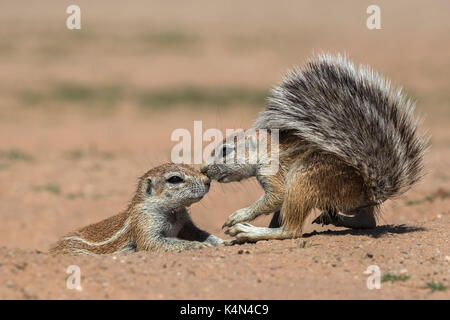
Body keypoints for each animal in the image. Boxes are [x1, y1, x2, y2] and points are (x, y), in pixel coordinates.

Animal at [50, 162, 222, 255]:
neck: (174, 213)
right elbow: (153, 243)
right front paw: (196, 245)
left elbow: (201, 234)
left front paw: (223, 242)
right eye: (175, 179)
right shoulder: (144, 223)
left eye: (190, 166)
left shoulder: (186, 223)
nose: (208, 181)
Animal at [201, 52, 428, 244]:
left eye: (225, 150)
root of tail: (368, 189)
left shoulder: (275, 174)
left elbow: (276, 198)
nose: (204, 169)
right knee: (367, 221)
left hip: (304, 179)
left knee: (291, 231)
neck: (268, 149)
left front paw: (238, 216)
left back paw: (250, 232)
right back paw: (336, 219)